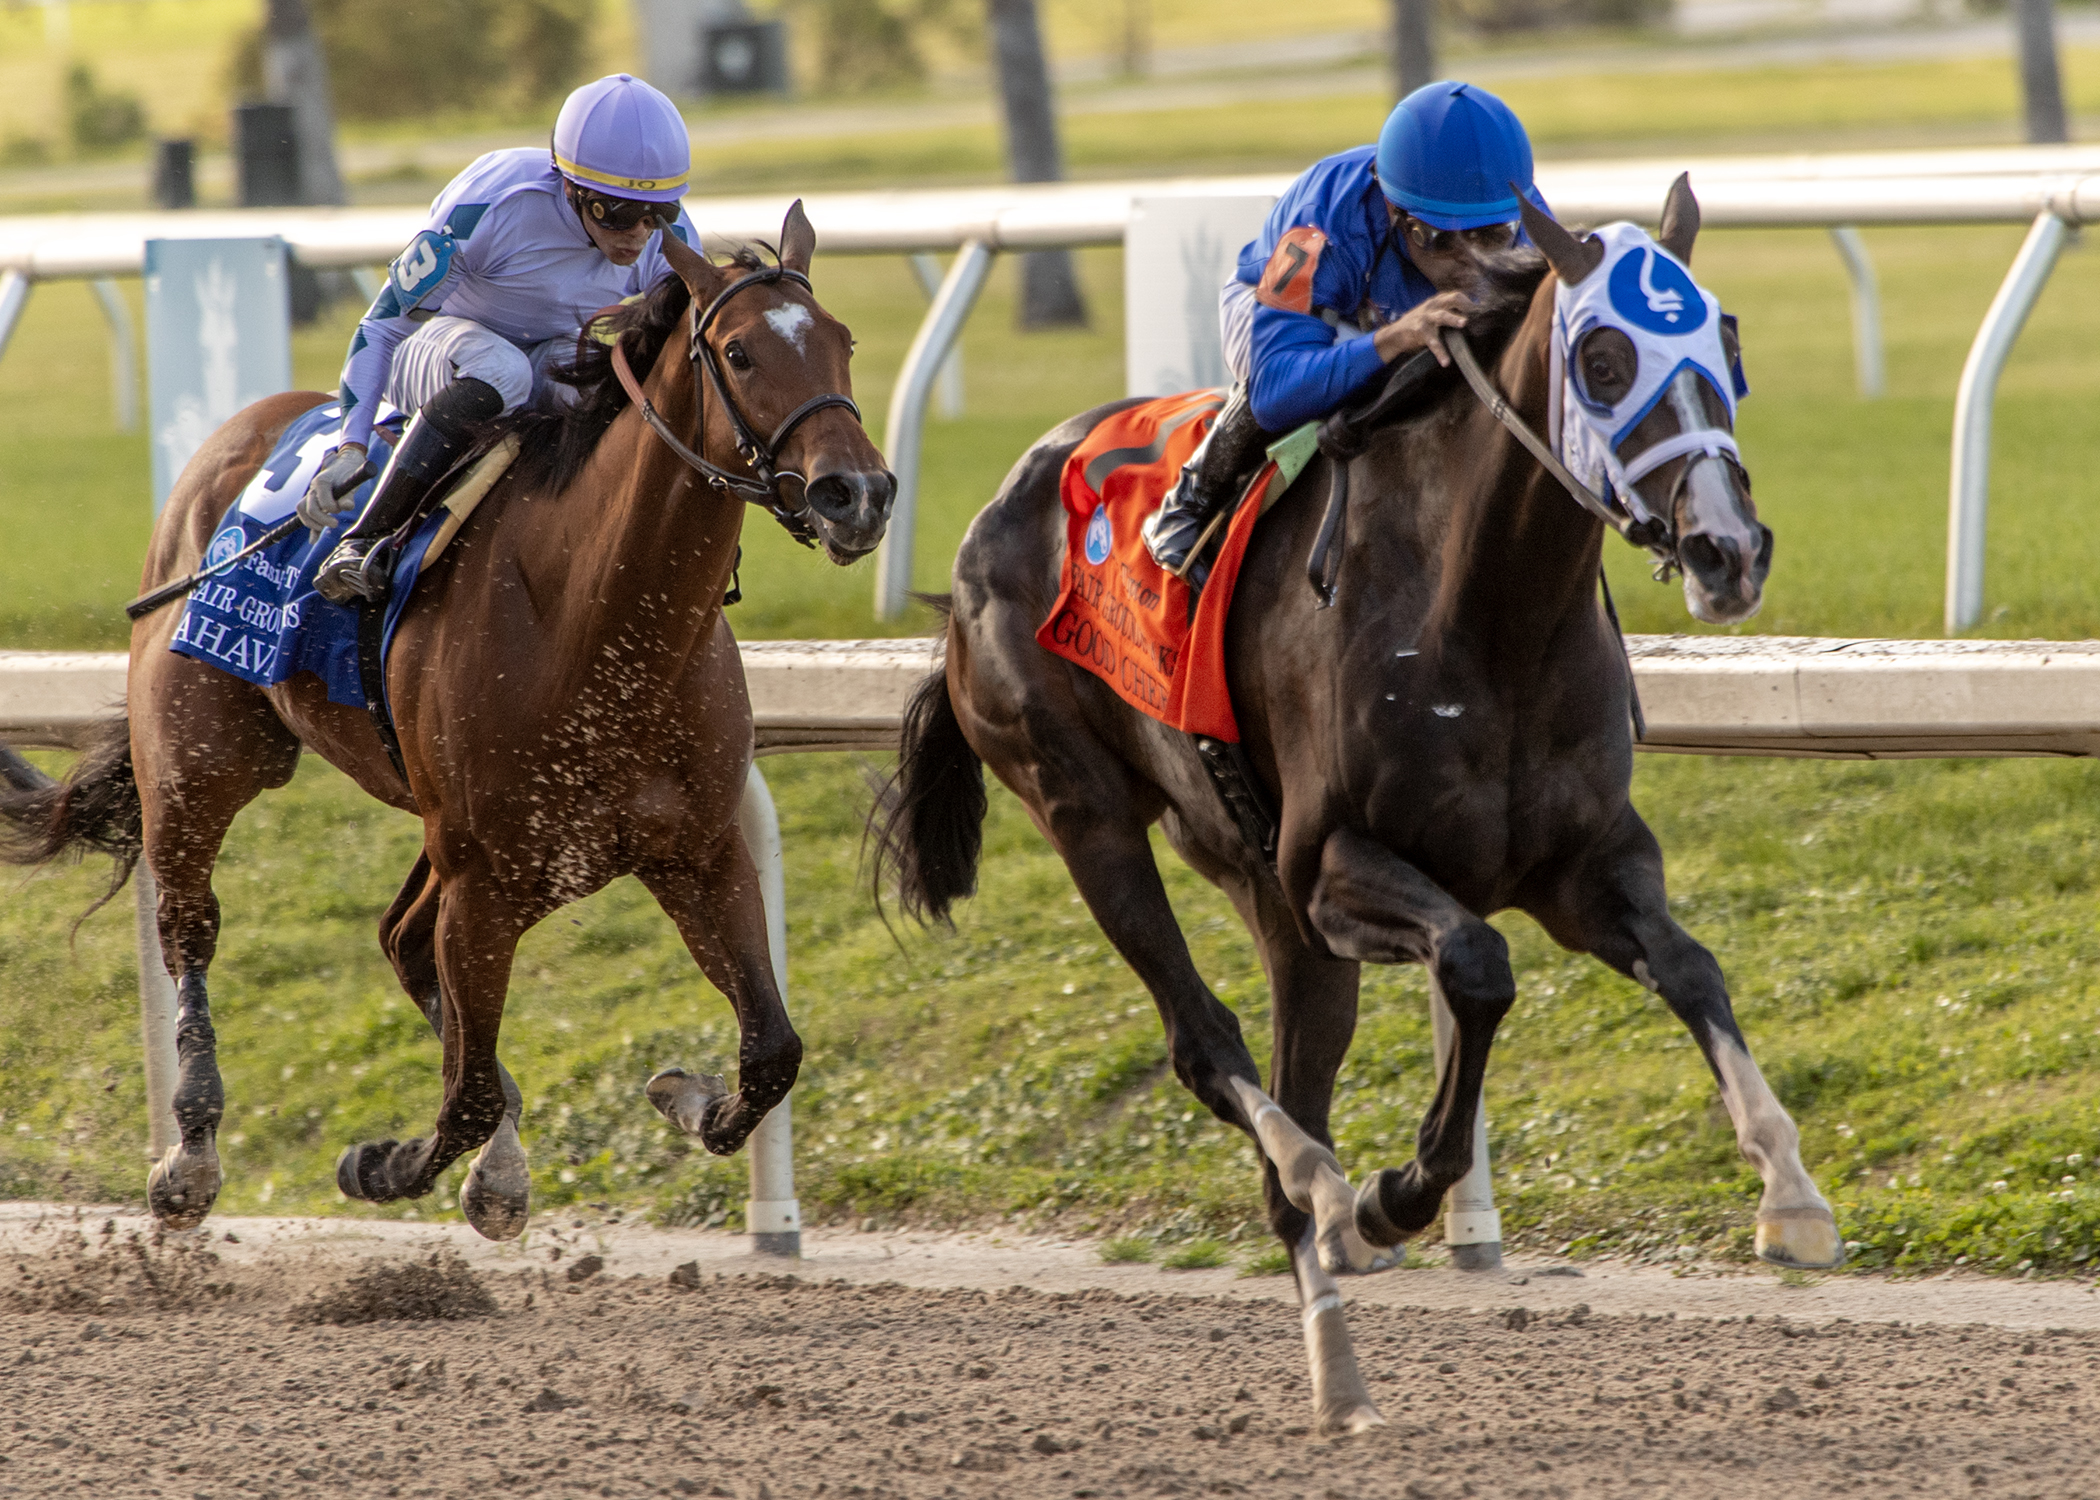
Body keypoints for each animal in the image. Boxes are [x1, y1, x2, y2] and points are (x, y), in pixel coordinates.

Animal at [0, 206, 890, 1235]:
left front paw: (686, 1097)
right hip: (201, 760)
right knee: (192, 924)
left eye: (844, 342)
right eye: (740, 353)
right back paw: (190, 1151)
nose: (857, 493)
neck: (599, 620)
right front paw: (385, 1163)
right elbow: (459, 1094)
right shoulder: (487, 876)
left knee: (400, 936)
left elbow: (772, 1048)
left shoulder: (693, 849)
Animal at [869, 180, 1839, 1428]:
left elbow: (1690, 967)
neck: (1485, 612)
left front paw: (1792, 1193)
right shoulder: (1336, 866)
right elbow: (1478, 965)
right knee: (1206, 1045)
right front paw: (1395, 1193)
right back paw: (1330, 1194)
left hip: (1267, 898)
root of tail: (984, 529)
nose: (1729, 548)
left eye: (1726, 338)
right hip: (1082, 810)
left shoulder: (1585, 866)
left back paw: (1340, 1375)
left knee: (1292, 1089)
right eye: (1606, 358)